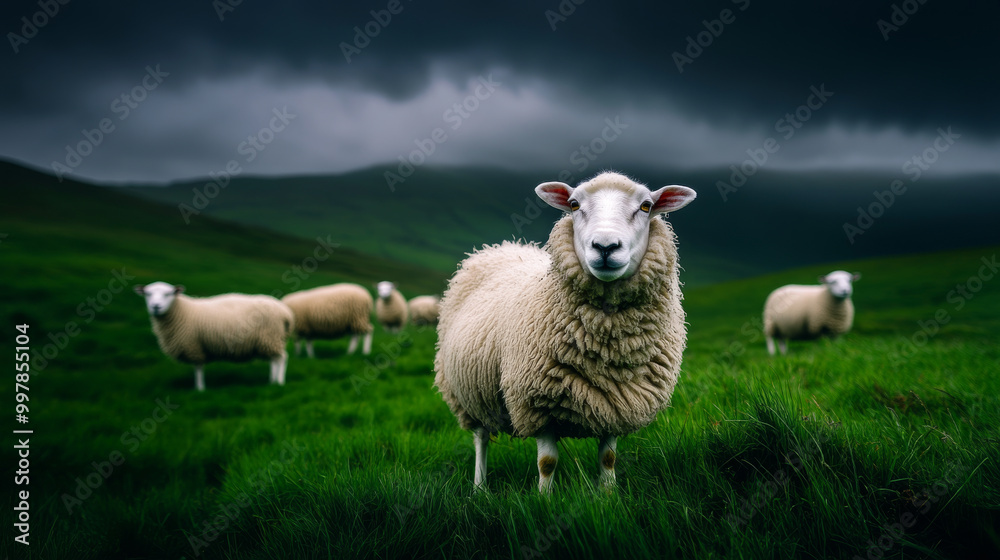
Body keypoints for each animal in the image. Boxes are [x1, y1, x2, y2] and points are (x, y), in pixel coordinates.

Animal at [134, 281, 294, 391]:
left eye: (169, 294)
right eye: (147, 294)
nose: (156, 306)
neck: (182, 310)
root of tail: (286, 312)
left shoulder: (194, 345)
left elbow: (198, 367)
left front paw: (199, 389)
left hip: (271, 336)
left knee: (282, 358)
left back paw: (279, 382)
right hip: (271, 340)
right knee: (274, 360)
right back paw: (271, 381)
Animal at [433, 171, 697, 492]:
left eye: (646, 206)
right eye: (573, 204)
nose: (605, 246)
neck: (606, 345)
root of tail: (502, 247)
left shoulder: (617, 403)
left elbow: (608, 458)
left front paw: (608, 495)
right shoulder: (537, 403)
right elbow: (547, 463)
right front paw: (544, 498)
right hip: (469, 395)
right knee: (481, 438)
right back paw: (480, 487)